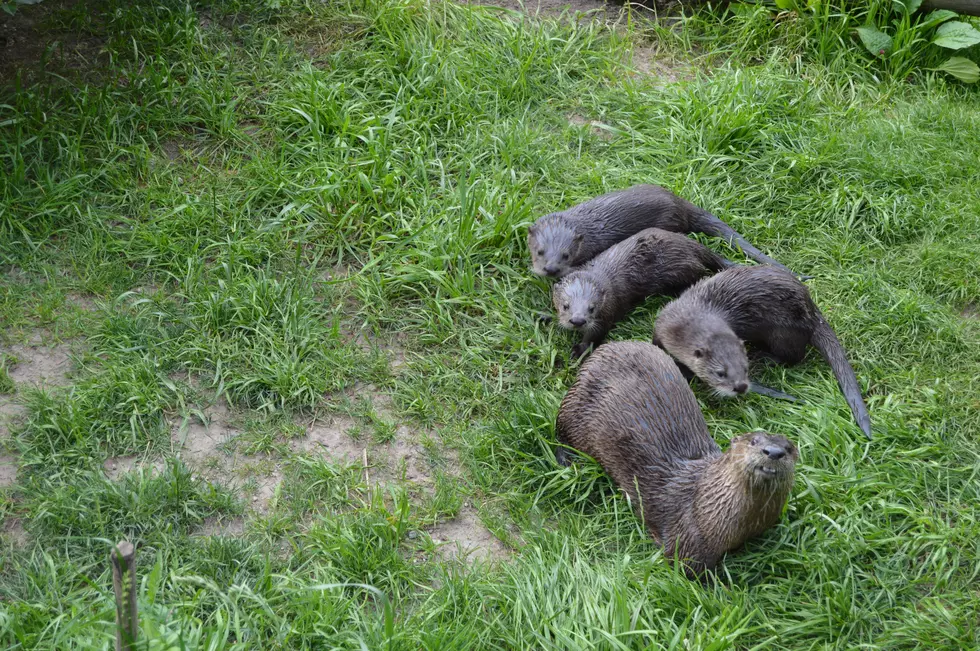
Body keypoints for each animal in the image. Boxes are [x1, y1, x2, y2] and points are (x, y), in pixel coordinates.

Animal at [552, 227, 736, 360]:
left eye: (592, 308)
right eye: (565, 306)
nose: (578, 321)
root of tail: (685, 242)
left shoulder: (608, 310)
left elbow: (595, 335)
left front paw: (579, 350)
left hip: (680, 268)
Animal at [556, 342, 800, 576]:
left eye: (788, 448)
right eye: (754, 441)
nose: (773, 452)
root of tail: (604, 348)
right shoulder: (689, 542)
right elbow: (689, 572)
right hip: (576, 406)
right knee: (559, 426)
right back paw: (565, 459)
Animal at [652, 264, 872, 438]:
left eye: (745, 369)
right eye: (720, 373)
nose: (741, 386)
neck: (686, 320)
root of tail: (812, 311)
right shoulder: (662, 322)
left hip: (783, 332)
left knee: (794, 356)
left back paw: (765, 356)